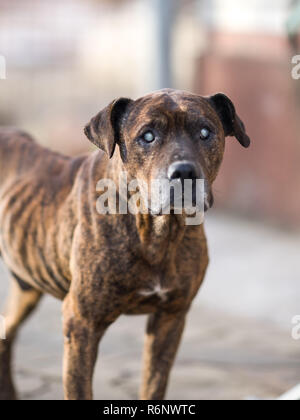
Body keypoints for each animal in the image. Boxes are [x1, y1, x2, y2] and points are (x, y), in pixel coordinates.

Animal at [0, 89, 250, 400]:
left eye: (205, 132)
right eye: (148, 136)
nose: (184, 173)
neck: (156, 233)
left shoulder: (170, 318)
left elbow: (154, 384)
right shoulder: (81, 322)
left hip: (27, 286)